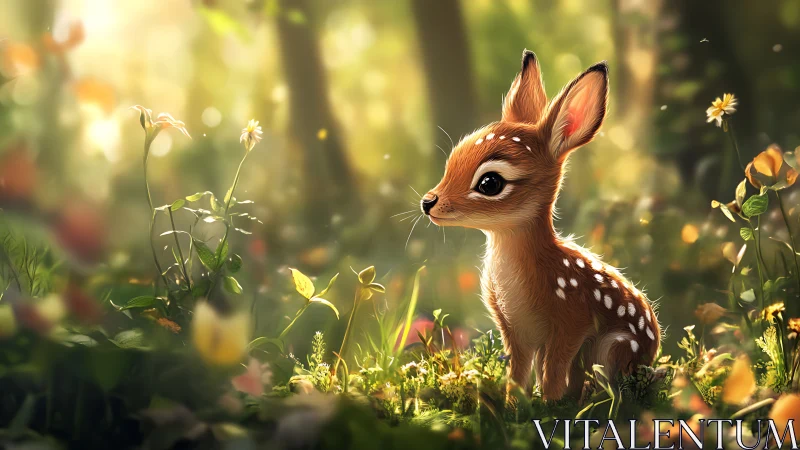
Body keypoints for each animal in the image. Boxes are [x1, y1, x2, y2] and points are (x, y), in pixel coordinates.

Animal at [420, 50, 661, 401]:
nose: (428, 202)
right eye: (452, 160)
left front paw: (550, 405)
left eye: (490, 183)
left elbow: (553, 370)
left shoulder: (572, 318)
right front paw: (513, 404)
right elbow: (518, 372)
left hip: (614, 346)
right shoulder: (512, 329)